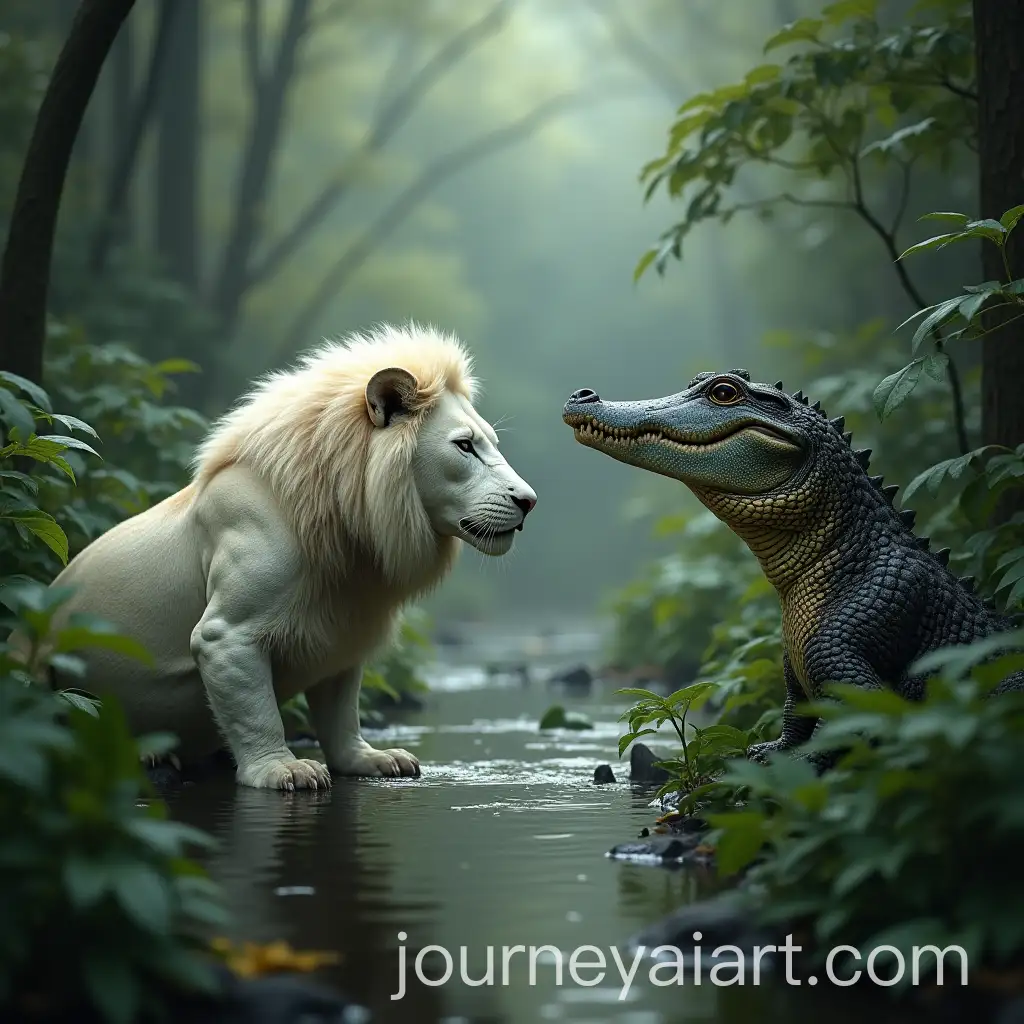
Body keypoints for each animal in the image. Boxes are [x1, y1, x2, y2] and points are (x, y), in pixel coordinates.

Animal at [35, 323, 537, 790]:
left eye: (491, 443)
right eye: (465, 445)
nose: (530, 501)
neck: (353, 536)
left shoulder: (343, 631)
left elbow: (341, 714)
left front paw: (370, 760)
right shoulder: (227, 636)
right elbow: (256, 711)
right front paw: (282, 770)